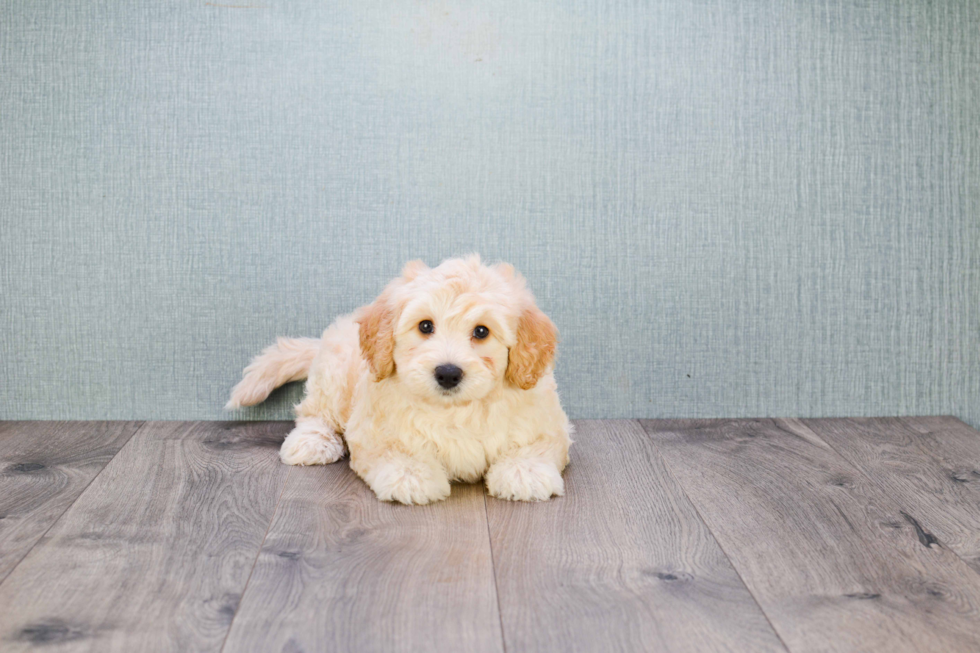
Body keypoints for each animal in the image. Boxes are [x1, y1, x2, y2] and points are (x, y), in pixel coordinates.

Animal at [226, 255, 572, 504]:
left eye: (482, 331)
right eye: (425, 326)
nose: (448, 373)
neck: (455, 409)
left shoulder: (545, 422)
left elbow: (536, 446)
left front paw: (524, 472)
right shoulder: (372, 428)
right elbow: (393, 451)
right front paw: (410, 476)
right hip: (333, 376)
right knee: (314, 413)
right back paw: (311, 442)